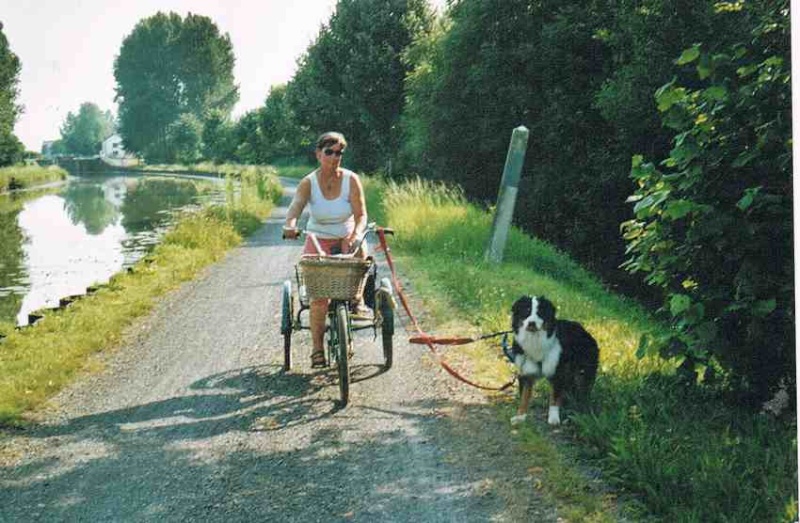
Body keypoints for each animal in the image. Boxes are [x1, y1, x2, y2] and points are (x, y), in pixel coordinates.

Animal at [510, 294, 596, 426]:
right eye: (526, 311)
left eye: (540, 313)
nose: (531, 323)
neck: (535, 340)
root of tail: (587, 333)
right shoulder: (526, 372)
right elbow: (524, 396)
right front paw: (520, 416)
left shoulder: (558, 372)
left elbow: (555, 398)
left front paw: (554, 418)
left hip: (583, 374)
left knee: (582, 393)